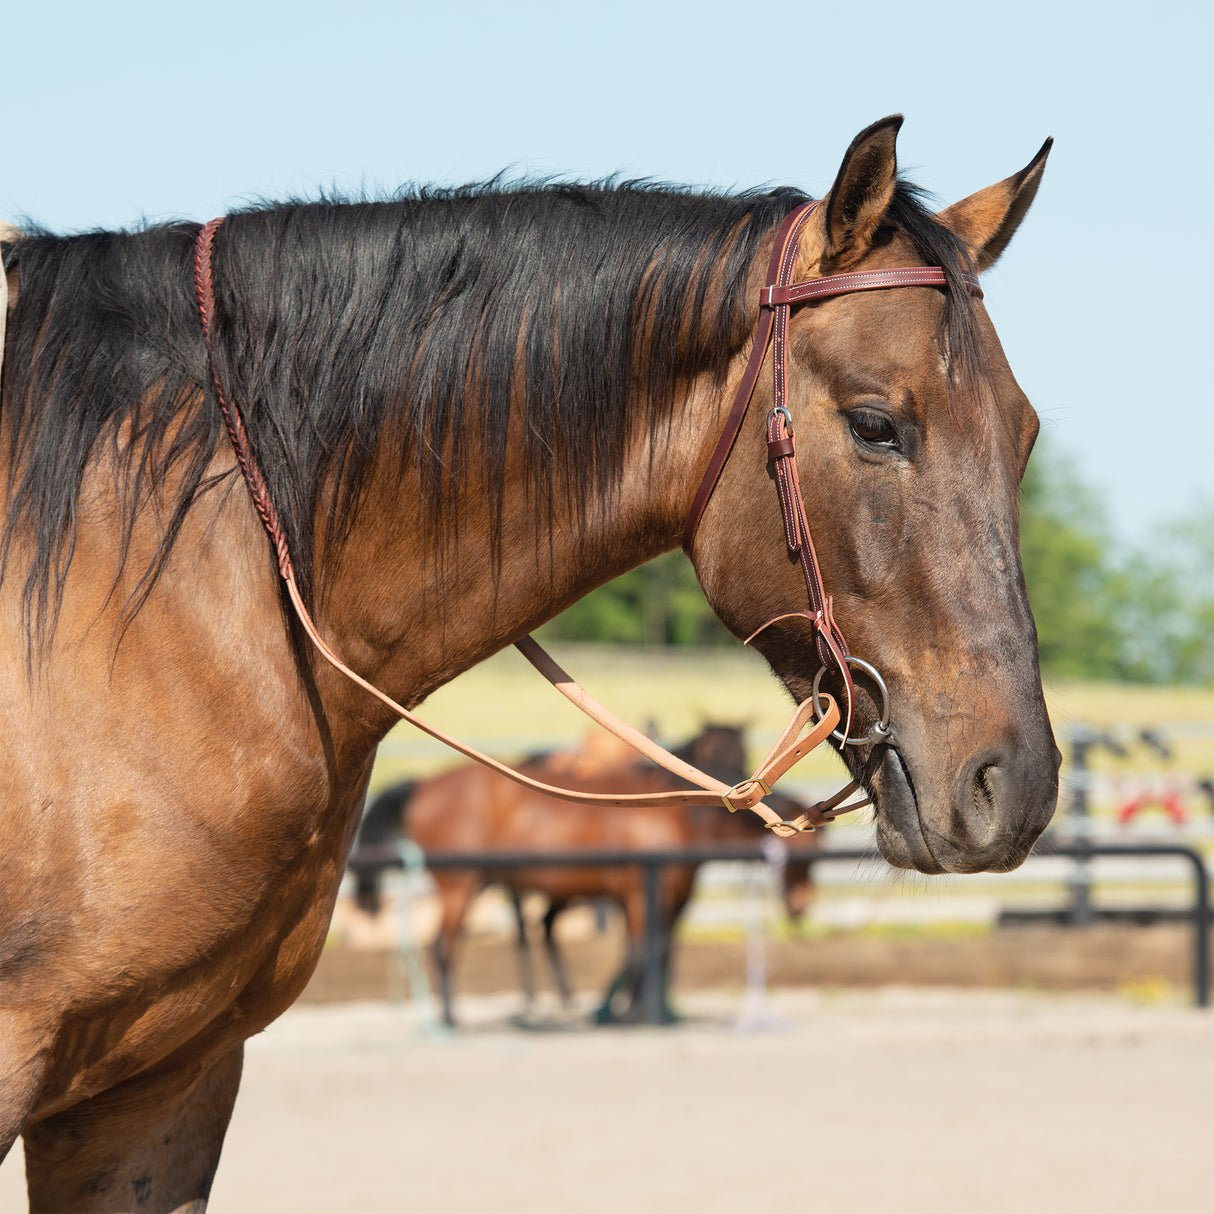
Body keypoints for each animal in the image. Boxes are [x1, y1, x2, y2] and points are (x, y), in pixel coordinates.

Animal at [354, 728, 820, 1024]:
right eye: (804, 857)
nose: (801, 908)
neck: (675, 813)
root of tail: (423, 785)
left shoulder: (666, 893)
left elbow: (656, 950)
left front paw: (637, 1009)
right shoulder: (641, 892)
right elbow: (643, 950)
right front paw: (633, 1012)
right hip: (459, 886)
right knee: (443, 945)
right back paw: (452, 1018)